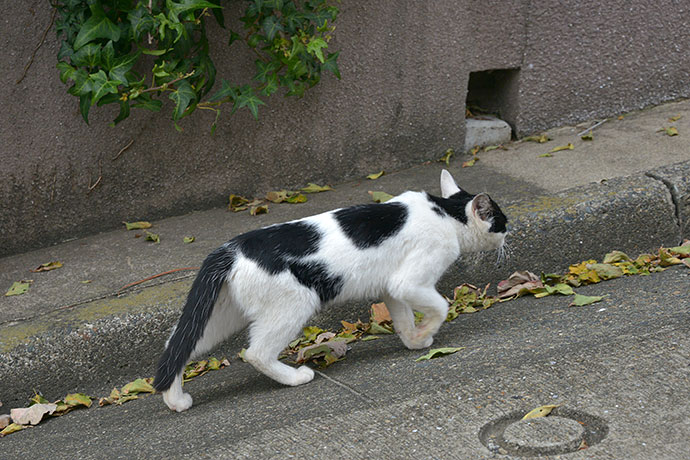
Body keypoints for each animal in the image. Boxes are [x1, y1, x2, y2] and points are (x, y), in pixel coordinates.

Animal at [152, 170, 506, 414]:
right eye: (501, 221)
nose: (510, 232)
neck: (446, 213)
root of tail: (230, 249)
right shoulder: (408, 282)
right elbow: (440, 307)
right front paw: (426, 332)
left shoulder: (391, 288)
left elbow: (404, 318)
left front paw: (415, 341)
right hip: (295, 302)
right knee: (255, 353)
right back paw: (294, 377)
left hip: (219, 318)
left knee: (177, 347)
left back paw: (176, 400)